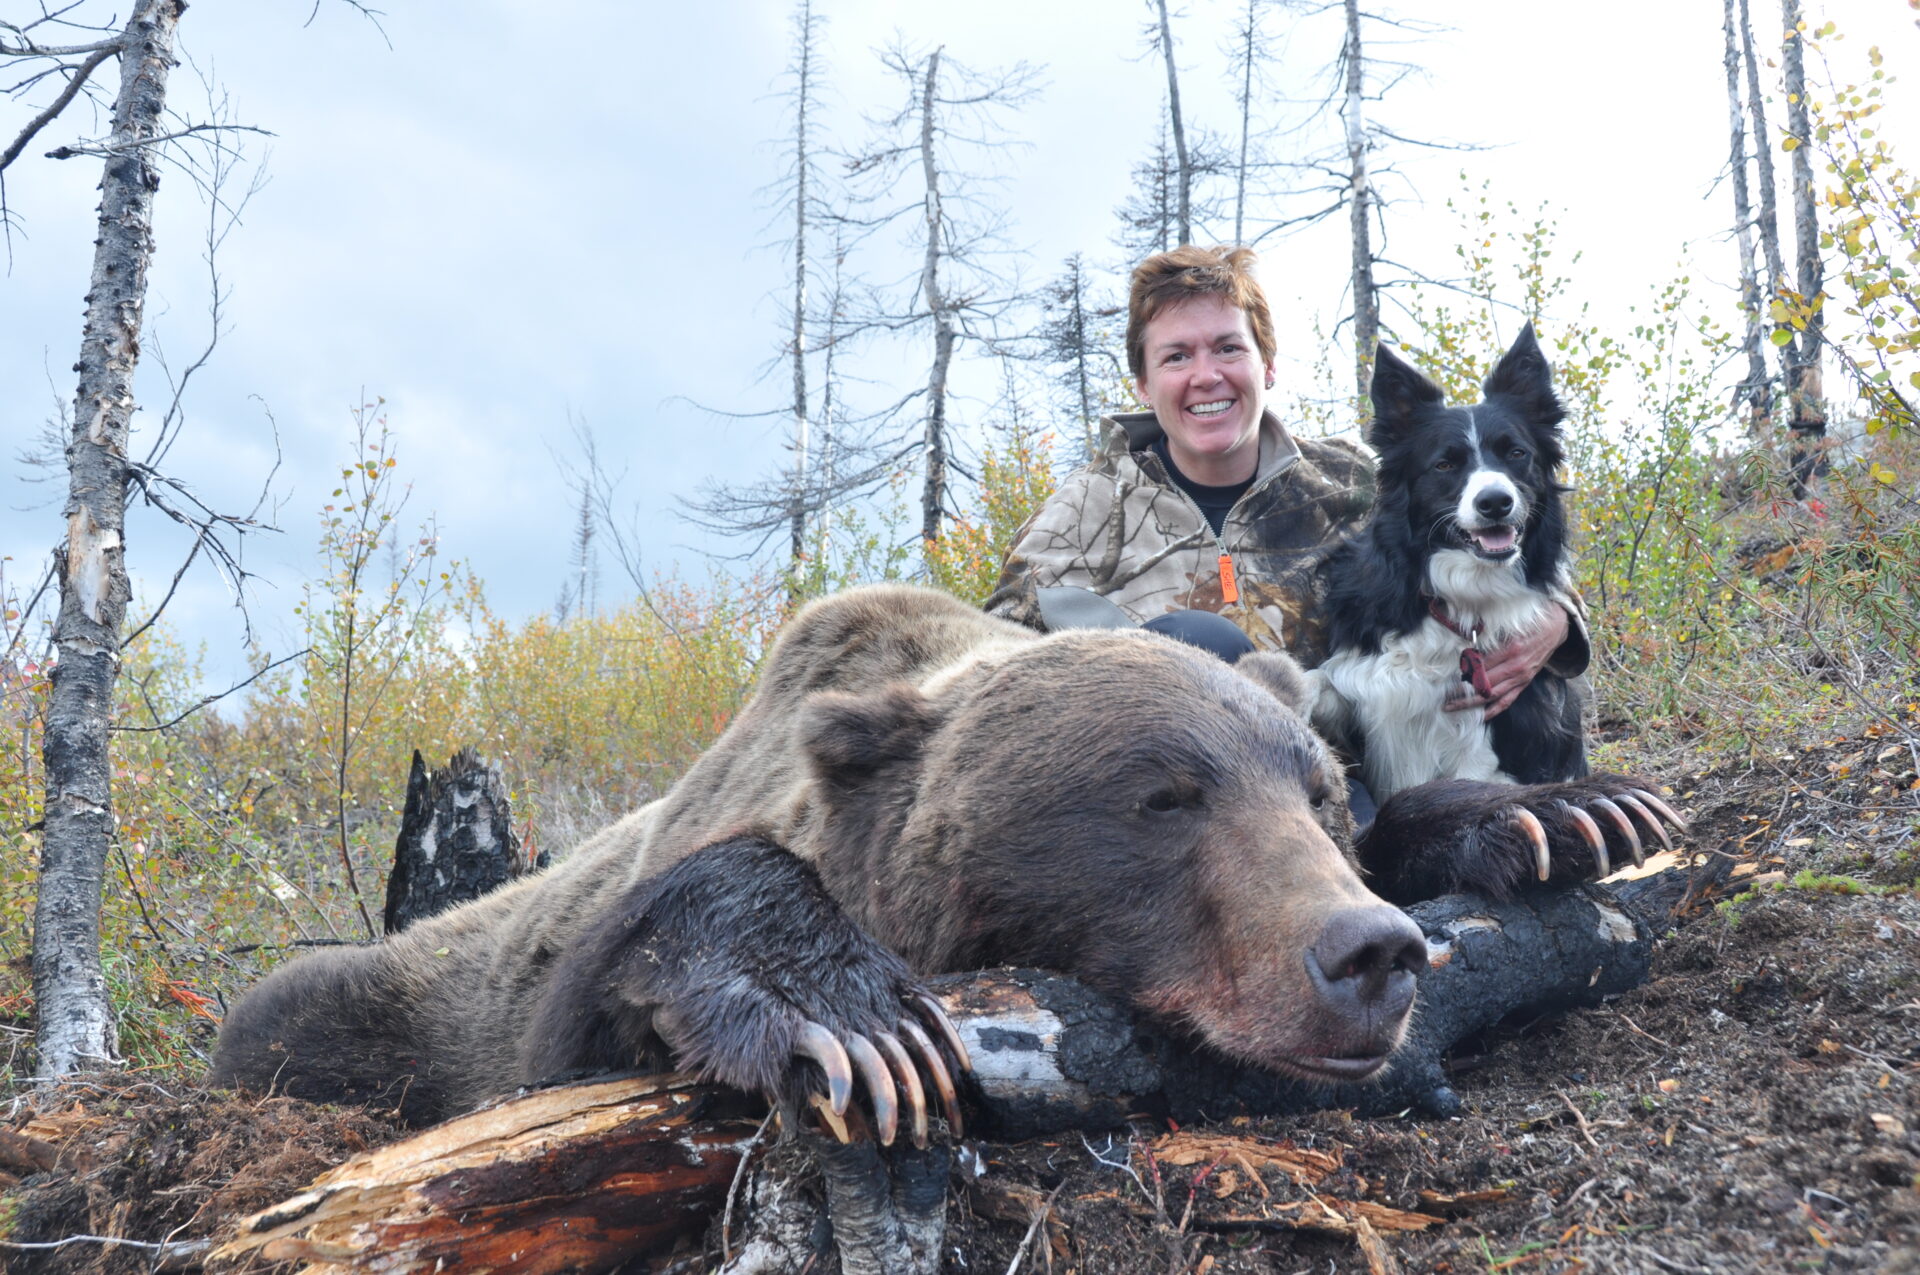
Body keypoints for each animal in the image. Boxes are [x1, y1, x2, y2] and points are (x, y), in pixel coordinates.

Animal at [214, 583, 1635, 1129]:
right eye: (1161, 797)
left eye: (1319, 795)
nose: (1368, 955)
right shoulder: (542, 1011)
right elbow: (595, 1009)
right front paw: (850, 1012)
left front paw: (1566, 814)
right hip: (389, 996)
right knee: (284, 1009)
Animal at [1305, 326, 1589, 806]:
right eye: (1444, 463)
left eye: (1516, 453)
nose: (1495, 502)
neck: (1455, 600)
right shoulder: (1366, 680)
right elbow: (1312, 681)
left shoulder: (1495, 726)